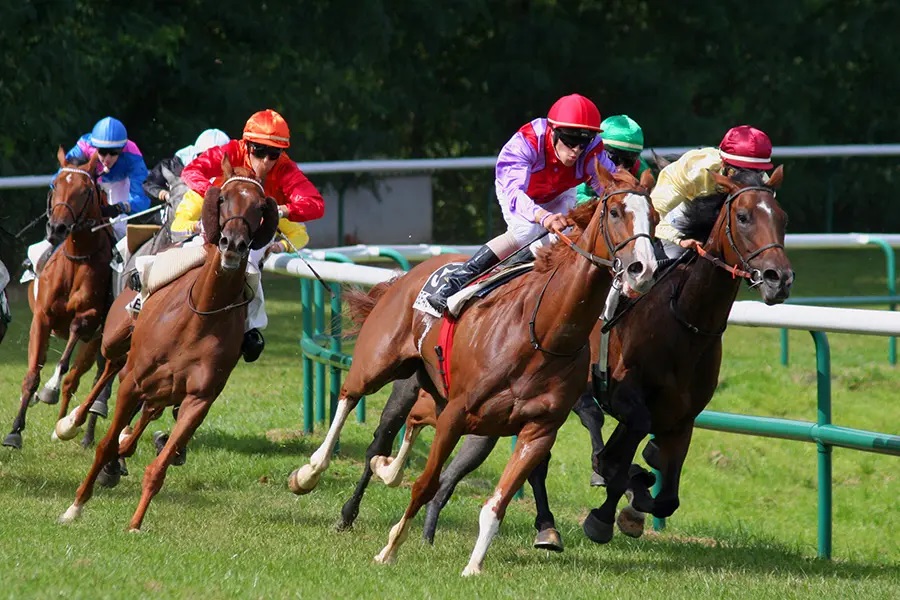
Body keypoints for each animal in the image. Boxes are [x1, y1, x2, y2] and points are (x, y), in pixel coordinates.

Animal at [2, 149, 114, 450]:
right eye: (55, 184)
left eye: (85, 190)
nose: (57, 228)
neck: (76, 258)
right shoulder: (41, 318)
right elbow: (31, 374)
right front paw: (14, 432)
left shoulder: (90, 318)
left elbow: (70, 346)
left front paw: (49, 390)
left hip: (97, 340)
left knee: (76, 378)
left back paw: (71, 427)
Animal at [56, 158, 278, 528]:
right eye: (223, 199)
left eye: (261, 207)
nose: (233, 244)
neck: (200, 316)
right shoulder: (133, 380)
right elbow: (105, 445)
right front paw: (76, 505)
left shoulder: (198, 399)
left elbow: (158, 466)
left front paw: (135, 524)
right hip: (117, 340)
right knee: (110, 366)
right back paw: (70, 422)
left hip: (164, 387)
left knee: (149, 409)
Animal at [290, 166, 660, 576]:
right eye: (615, 212)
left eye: (655, 218)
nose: (643, 270)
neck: (544, 332)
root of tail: (406, 276)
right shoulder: (458, 412)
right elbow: (426, 484)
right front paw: (390, 548)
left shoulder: (538, 430)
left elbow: (495, 505)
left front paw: (473, 567)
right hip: (379, 364)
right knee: (349, 397)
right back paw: (309, 473)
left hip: (434, 390)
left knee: (411, 422)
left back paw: (387, 468)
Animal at [408, 165, 796, 548]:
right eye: (743, 217)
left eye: (783, 218)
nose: (779, 278)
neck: (684, 321)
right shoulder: (622, 395)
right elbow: (620, 455)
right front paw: (606, 511)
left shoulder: (682, 418)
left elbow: (667, 497)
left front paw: (636, 488)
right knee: (547, 458)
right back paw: (548, 524)